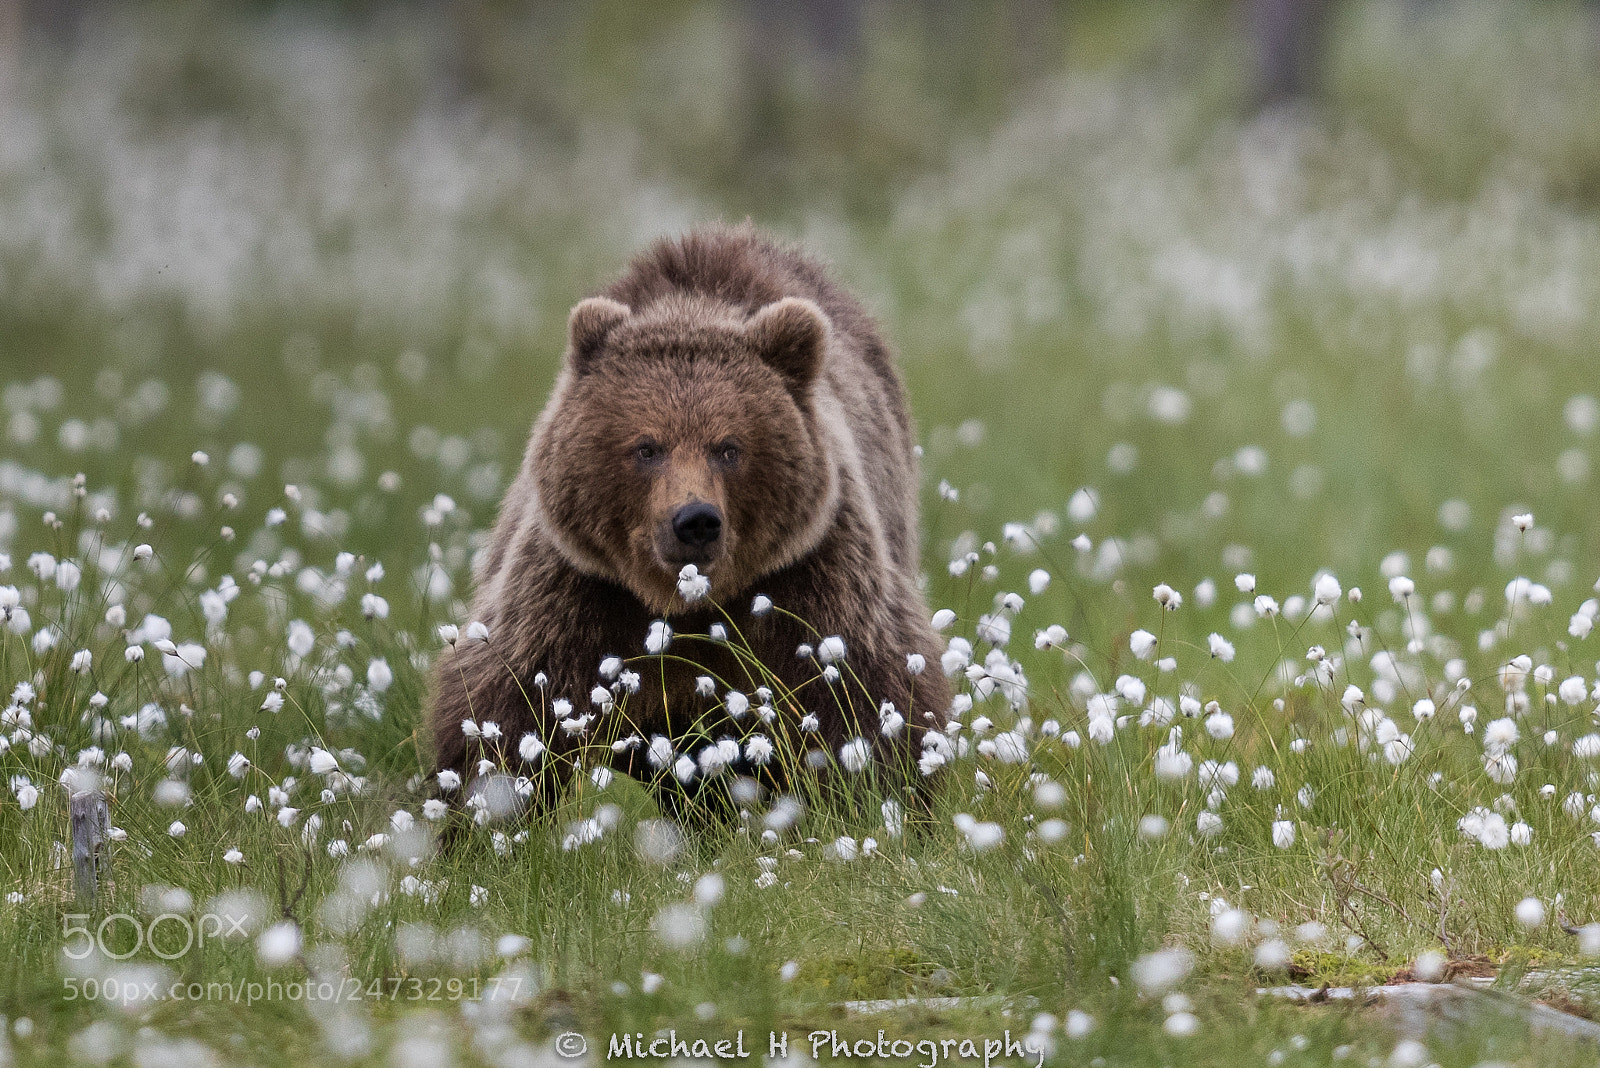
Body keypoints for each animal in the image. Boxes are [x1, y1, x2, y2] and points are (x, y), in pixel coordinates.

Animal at [426, 224, 950, 811]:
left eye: (729, 447)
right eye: (647, 447)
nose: (695, 519)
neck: (687, 606)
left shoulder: (808, 577)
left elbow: (863, 690)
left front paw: (881, 795)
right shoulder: (582, 590)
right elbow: (511, 698)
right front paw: (482, 806)